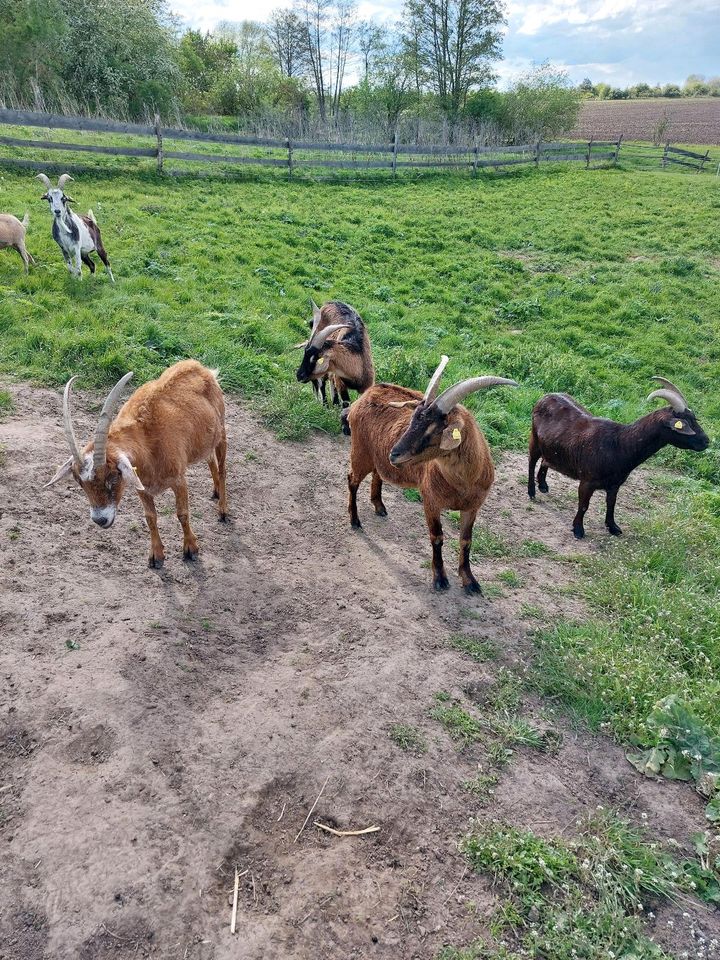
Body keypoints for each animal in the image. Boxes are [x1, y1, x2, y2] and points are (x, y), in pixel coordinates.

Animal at [45, 360, 225, 568]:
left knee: (223, 469)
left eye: (113, 476)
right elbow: (150, 517)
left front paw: (191, 549)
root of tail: (200, 368)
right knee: (210, 458)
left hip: (222, 432)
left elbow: (182, 513)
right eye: (80, 482)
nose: (100, 519)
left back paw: (223, 511)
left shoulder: (179, 480)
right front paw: (156, 556)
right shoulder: (141, 485)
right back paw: (216, 491)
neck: (148, 441)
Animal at [344, 354, 516, 592]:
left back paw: (379, 506)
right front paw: (440, 579)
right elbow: (437, 537)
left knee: (379, 474)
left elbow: (466, 540)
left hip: (378, 459)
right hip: (361, 452)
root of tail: (368, 393)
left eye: (434, 429)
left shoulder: (472, 507)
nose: (394, 454)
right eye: (413, 418)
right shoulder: (431, 500)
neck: (462, 484)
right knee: (352, 479)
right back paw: (355, 520)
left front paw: (470, 581)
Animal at [528, 376, 708, 540]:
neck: (619, 444)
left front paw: (613, 527)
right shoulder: (587, 481)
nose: (706, 441)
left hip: (550, 446)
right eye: (685, 423)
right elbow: (584, 505)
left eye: (694, 419)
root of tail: (546, 396)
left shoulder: (615, 484)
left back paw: (543, 485)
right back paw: (532, 492)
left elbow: (611, 504)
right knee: (532, 461)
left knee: (545, 460)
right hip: (534, 439)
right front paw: (578, 530)